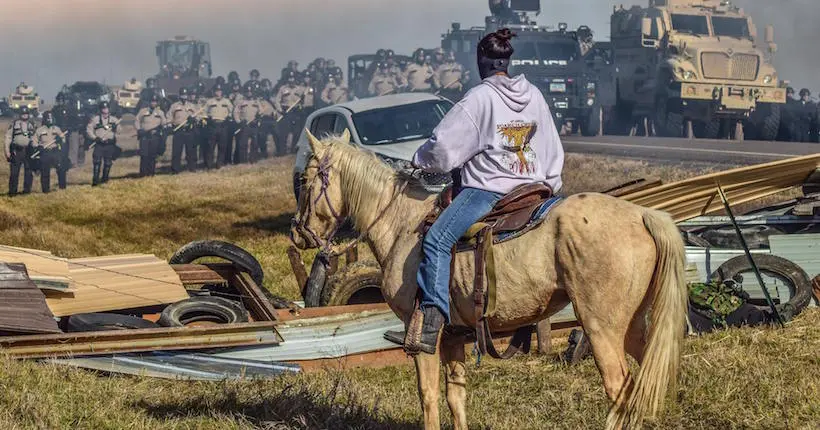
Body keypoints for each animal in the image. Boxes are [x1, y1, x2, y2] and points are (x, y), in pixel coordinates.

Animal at [292, 129, 688, 428]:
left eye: (306, 179)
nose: (298, 232)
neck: (402, 223)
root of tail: (644, 216)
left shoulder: (419, 332)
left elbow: (428, 396)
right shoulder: (452, 335)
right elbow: (456, 396)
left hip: (601, 328)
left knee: (620, 389)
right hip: (634, 325)